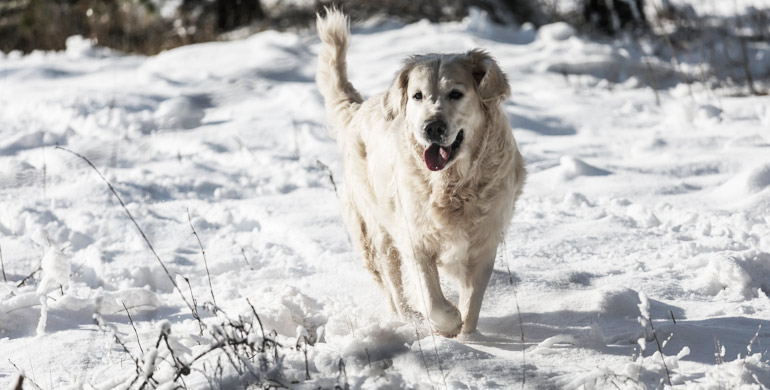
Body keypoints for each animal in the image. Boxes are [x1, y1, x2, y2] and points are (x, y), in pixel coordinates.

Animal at [316, 10, 524, 336]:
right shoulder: (414, 238)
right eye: (417, 96)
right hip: (375, 230)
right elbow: (433, 299)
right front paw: (448, 324)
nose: (432, 127)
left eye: (456, 93)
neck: (452, 183)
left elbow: (472, 301)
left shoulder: (484, 242)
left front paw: (468, 336)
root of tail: (360, 108)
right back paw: (406, 317)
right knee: (391, 285)